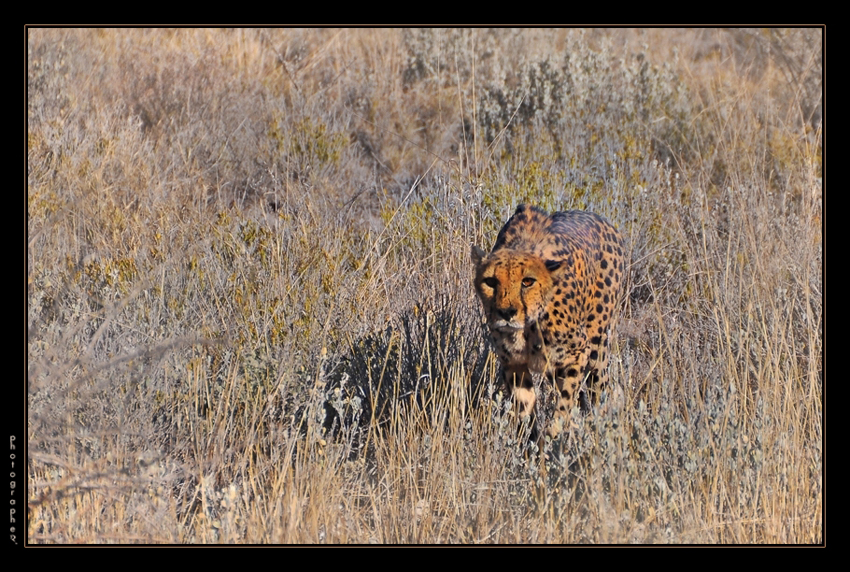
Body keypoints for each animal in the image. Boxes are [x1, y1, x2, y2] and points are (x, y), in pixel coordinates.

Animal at [470, 206, 624, 442]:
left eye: (527, 281)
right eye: (490, 282)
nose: (506, 312)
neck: (529, 327)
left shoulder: (578, 352)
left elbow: (566, 400)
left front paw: (555, 431)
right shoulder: (513, 363)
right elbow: (524, 405)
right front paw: (531, 440)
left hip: (597, 348)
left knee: (601, 390)